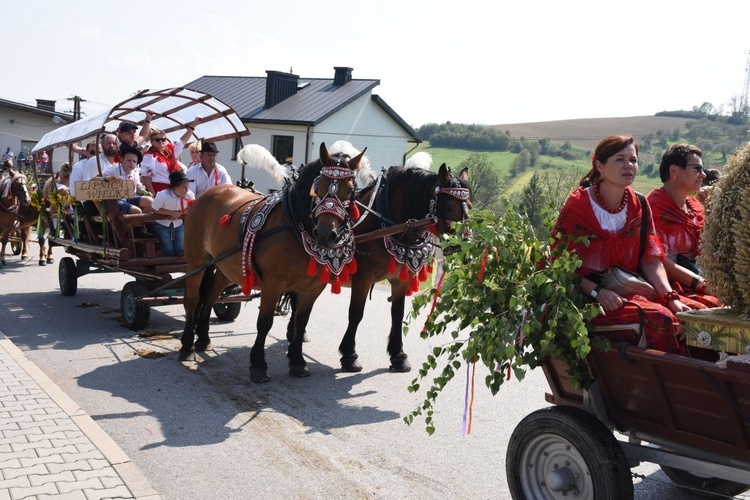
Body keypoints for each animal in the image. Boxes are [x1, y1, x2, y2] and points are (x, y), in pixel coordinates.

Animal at [179, 143, 368, 380]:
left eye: (350, 191)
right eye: (318, 187)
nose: (326, 234)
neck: (296, 226)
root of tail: (207, 193)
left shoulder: (313, 287)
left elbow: (301, 322)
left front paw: (297, 361)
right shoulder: (273, 282)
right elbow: (265, 321)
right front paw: (258, 364)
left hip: (227, 265)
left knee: (212, 294)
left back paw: (203, 337)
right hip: (196, 260)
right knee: (193, 298)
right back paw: (187, 345)